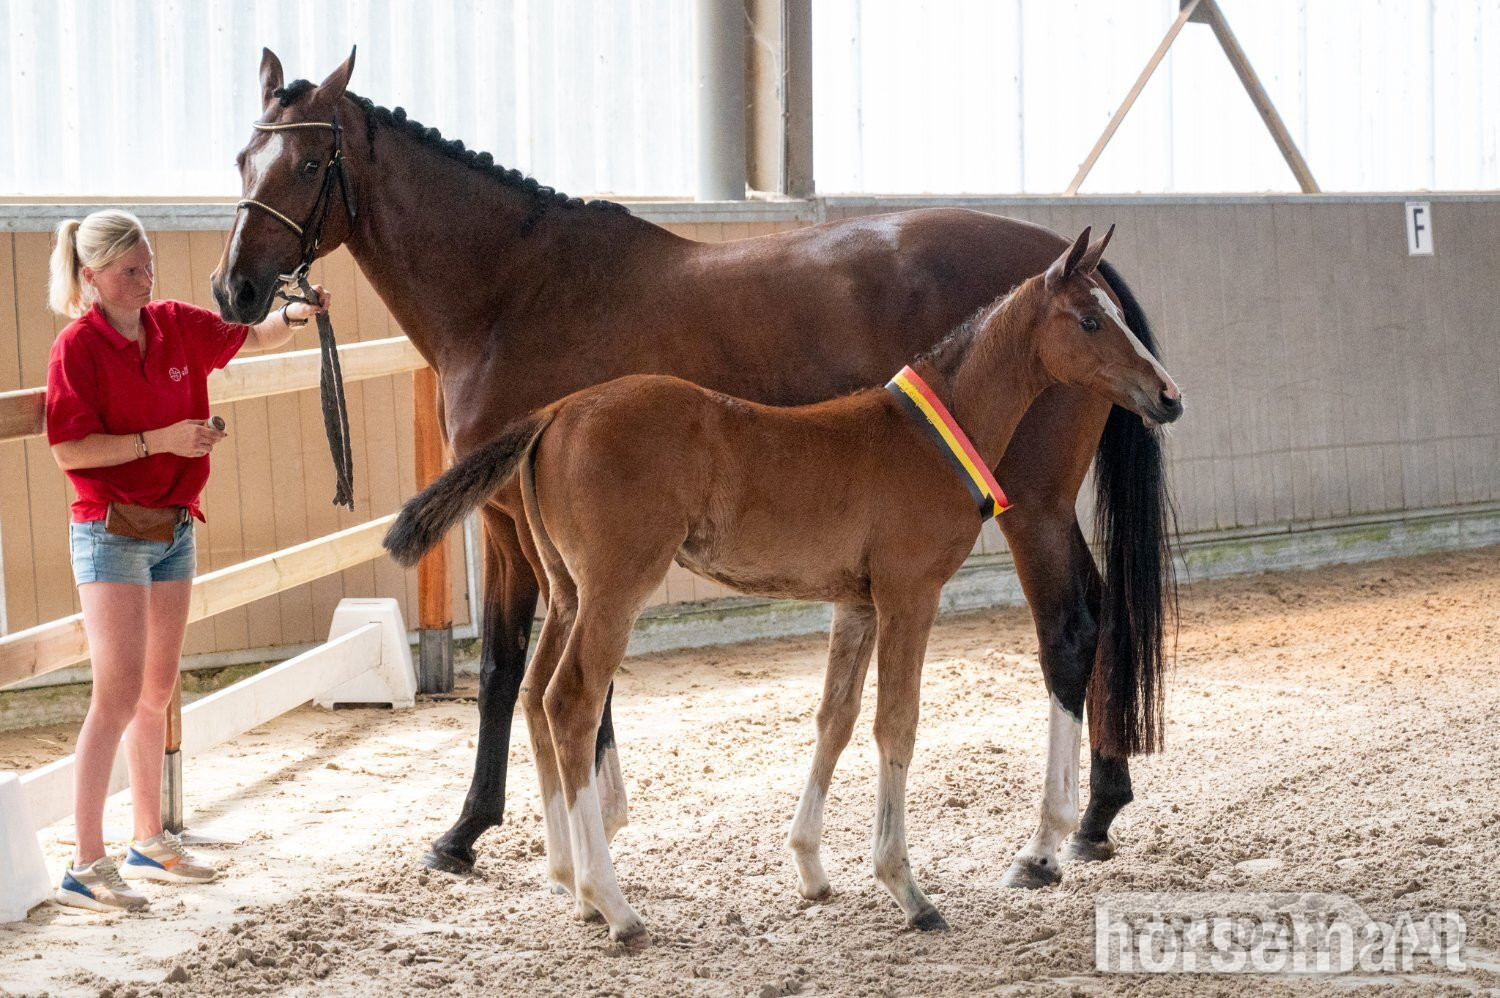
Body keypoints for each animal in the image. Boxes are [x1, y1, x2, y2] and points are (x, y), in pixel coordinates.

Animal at [383, 227, 1184, 940]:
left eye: (1114, 314)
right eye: (1089, 319)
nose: (1168, 395)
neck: (927, 435)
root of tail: (557, 412)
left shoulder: (856, 604)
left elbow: (835, 719)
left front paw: (811, 867)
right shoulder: (909, 593)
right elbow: (896, 722)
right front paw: (906, 889)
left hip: (568, 591)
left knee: (536, 695)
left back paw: (575, 887)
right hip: (614, 590)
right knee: (570, 701)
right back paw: (614, 906)